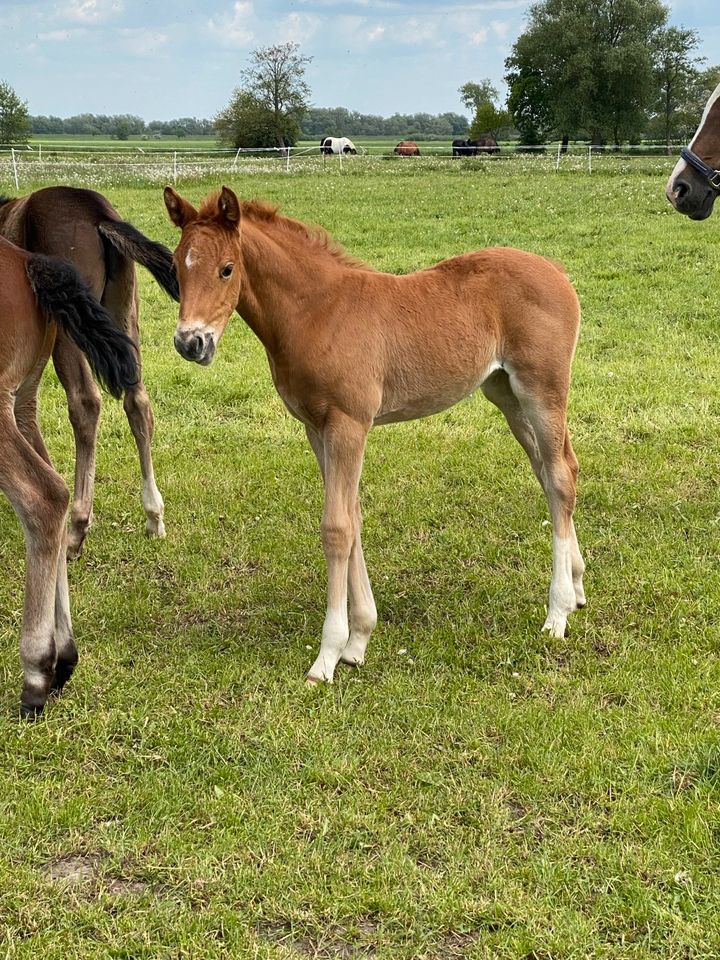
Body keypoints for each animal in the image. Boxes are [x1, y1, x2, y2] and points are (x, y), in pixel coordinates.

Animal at [0, 232, 138, 716]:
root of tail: (26, 262)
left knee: (43, 498)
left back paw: (37, 673)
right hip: (22, 398)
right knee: (55, 493)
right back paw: (64, 658)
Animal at [163, 184, 584, 688]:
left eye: (226, 268)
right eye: (175, 265)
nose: (190, 343)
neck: (317, 312)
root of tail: (556, 270)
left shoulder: (349, 423)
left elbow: (337, 527)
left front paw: (326, 657)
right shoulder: (316, 428)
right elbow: (353, 516)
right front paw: (359, 640)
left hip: (541, 390)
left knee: (558, 478)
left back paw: (557, 613)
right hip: (506, 395)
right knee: (555, 469)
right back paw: (578, 586)